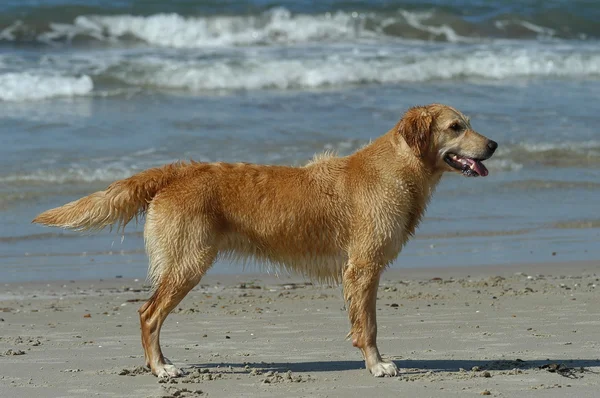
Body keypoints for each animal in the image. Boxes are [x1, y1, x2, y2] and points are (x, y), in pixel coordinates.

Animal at [32, 104, 496, 378]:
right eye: (456, 127)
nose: (493, 144)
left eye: (470, 124)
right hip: (187, 265)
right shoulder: (362, 269)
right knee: (148, 315)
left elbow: (366, 323)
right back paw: (161, 368)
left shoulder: (365, 272)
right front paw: (377, 364)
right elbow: (368, 326)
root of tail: (178, 170)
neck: (397, 168)